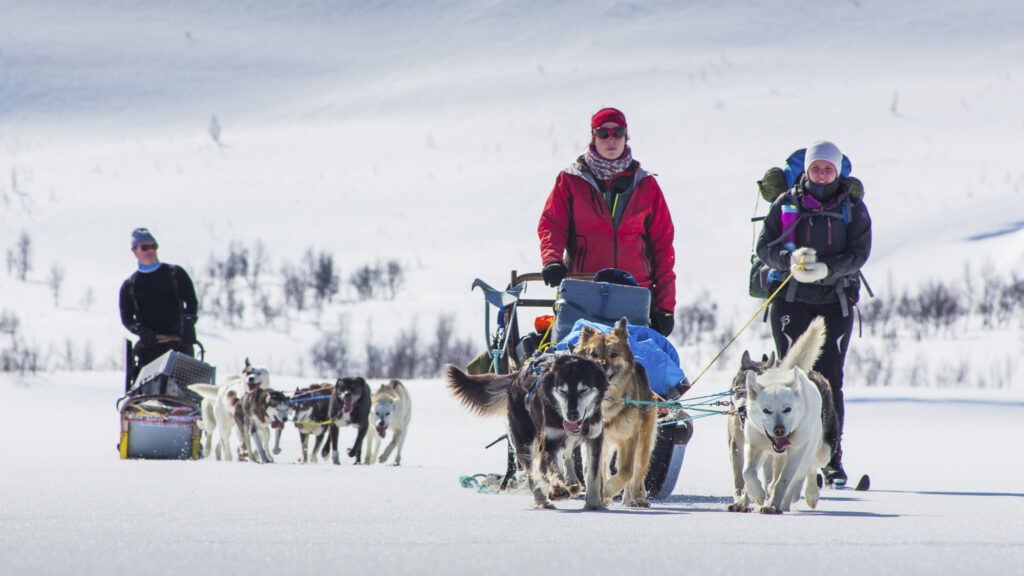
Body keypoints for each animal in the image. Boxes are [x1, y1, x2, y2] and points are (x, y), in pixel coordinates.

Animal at [442, 352, 606, 508]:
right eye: (562, 391)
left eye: (583, 390)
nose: (572, 415)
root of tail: (517, 376)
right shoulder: (549, 442)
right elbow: (552, 468)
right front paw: (558, 488)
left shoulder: (594, 439)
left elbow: (592, 476)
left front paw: (594, 504)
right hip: (525, 441)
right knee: (534, 472)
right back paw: (542, 500)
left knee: (565, 454)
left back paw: (571, 482)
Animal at [577, 315, 655, 504]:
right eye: (593, 354)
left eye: (614, 354)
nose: (602, 365)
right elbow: (594, 471)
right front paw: (598, 495)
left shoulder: (628, 437)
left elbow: (626, 471)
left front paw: (607, 490)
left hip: (643, 441)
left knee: (637, 472)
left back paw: (634, 499)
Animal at [737, 315, 839, 512]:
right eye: (766, 410)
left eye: (787, 409)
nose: (779, 430)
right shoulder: (754, 446)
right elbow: (747, 472)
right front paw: (757, 494)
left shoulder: (796, 452)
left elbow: (784, 481)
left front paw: (772, 505)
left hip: (819, 450)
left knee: (808, 470)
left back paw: (804, 495)